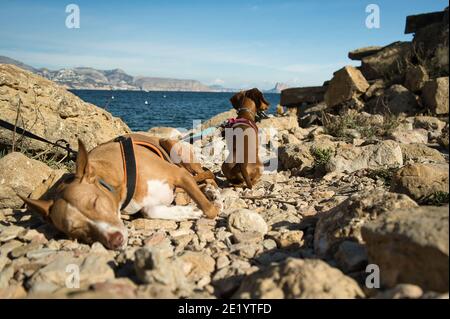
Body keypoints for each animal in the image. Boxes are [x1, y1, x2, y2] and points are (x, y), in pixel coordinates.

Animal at [21, 134, 221, 251]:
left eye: (95, 202)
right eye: (75, 231)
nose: (115, 241)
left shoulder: (179, 174)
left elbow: (210, 211)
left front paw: (209, 208)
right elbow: (150, 211)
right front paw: (189, 211)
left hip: (175, 150)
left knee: (207, 174)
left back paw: (212, 191)